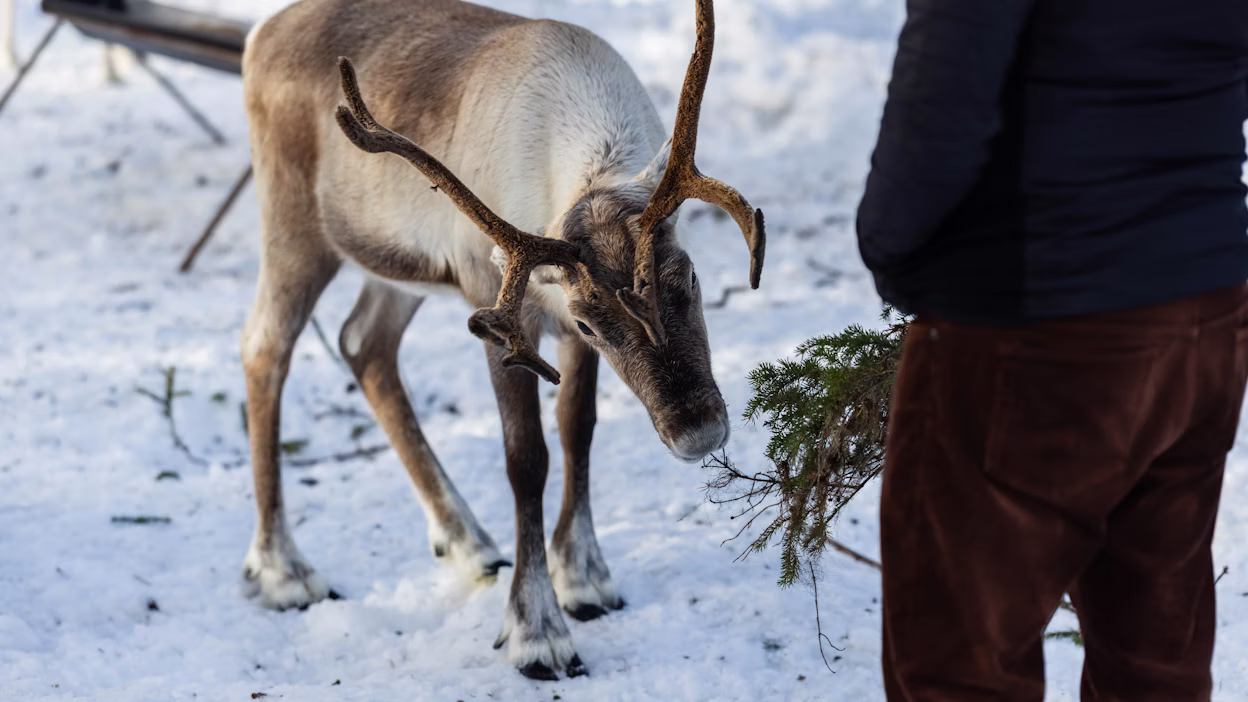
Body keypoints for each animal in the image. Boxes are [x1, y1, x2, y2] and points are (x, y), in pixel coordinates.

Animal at [238, 0, 764, 680]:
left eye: (691, 277)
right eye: (593, 322)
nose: (698, 432)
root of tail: (261, 35)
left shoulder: (555, 326)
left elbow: (577, 428)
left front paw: (585, 577)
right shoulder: (506, 312)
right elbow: (527, 459)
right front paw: (538, 631)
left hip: (399, 268)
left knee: (363, 342)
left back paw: (468, 542)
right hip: (294, 224)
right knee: (264, 348)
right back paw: (284, 570)